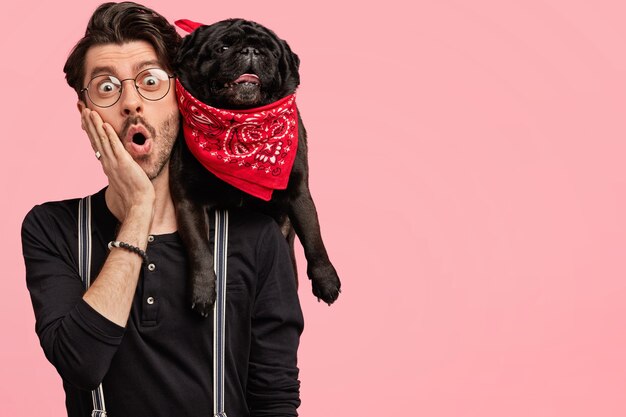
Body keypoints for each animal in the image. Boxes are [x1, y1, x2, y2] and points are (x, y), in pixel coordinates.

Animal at [168, 17, 338, 316]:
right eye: (222, 48)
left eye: (271, 52)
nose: (251, 51)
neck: (241, 120)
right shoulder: (188, 200)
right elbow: (199, 248)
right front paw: (203, 292)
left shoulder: (298, 192)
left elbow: (313, 236)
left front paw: (326, 280)